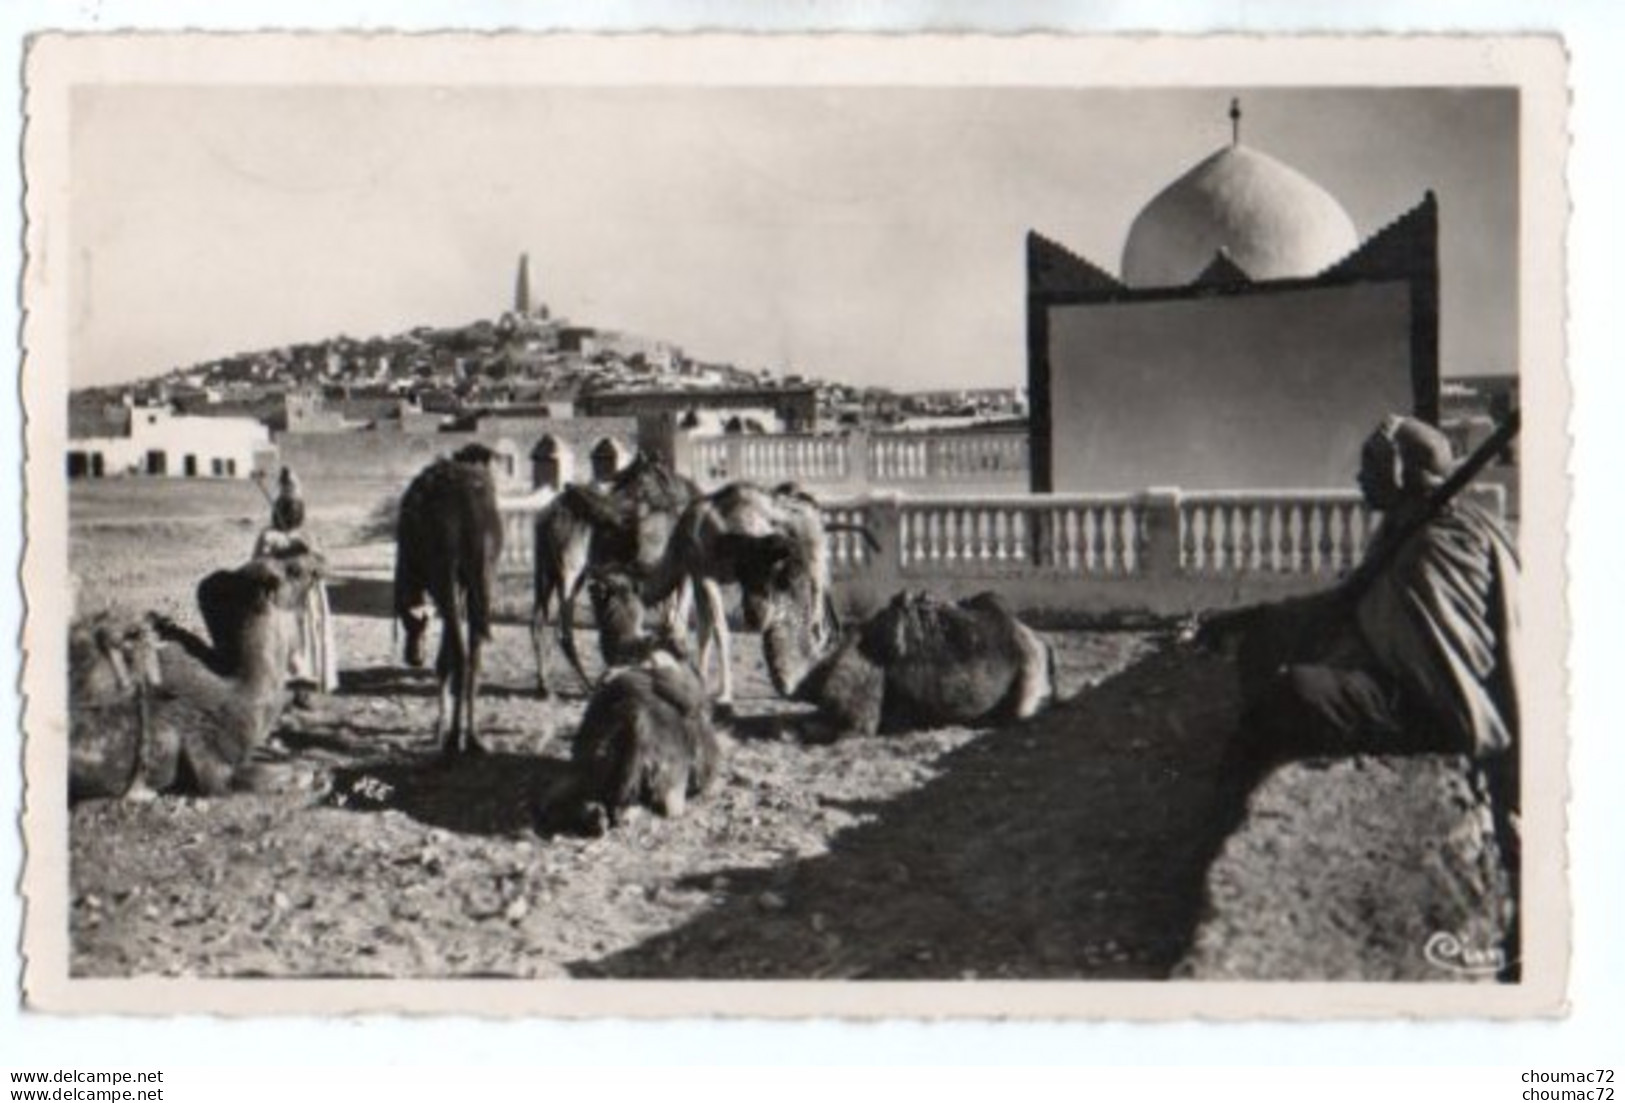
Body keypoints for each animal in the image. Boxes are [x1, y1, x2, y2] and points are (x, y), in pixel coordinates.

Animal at [393, 448, 500, 760]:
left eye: (409, 622)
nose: (413, 657)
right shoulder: (463, 586)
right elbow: (448, 654)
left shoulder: (437, 582)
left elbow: (446, 657)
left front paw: (438, 729)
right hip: (483, 577)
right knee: (474, 656)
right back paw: (474, 737)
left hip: (445, 574)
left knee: (463, 656)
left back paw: (454, 739)